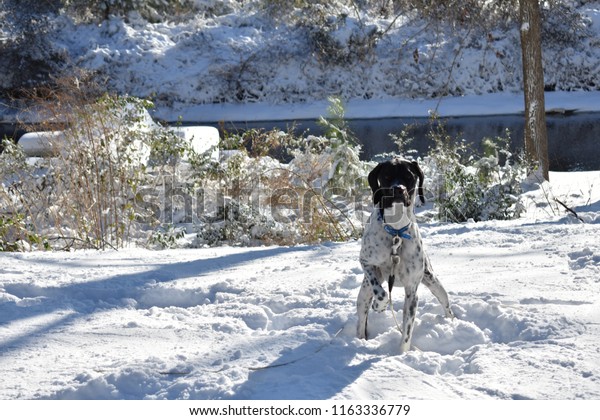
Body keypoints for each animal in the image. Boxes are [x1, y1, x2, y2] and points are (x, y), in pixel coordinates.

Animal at [356, 159, 454, 352]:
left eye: (409, 176)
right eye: (386, 176)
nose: (398, 189)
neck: (396, 231)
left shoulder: (412, 293)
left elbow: (407, 332)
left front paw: (402, 354)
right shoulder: (366, 262)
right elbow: (381, 293)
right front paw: (379, 305)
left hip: (433, 282)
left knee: (446, 305)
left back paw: (452, 324)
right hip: (364, 294)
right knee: (361, 319)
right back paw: (359, 340)